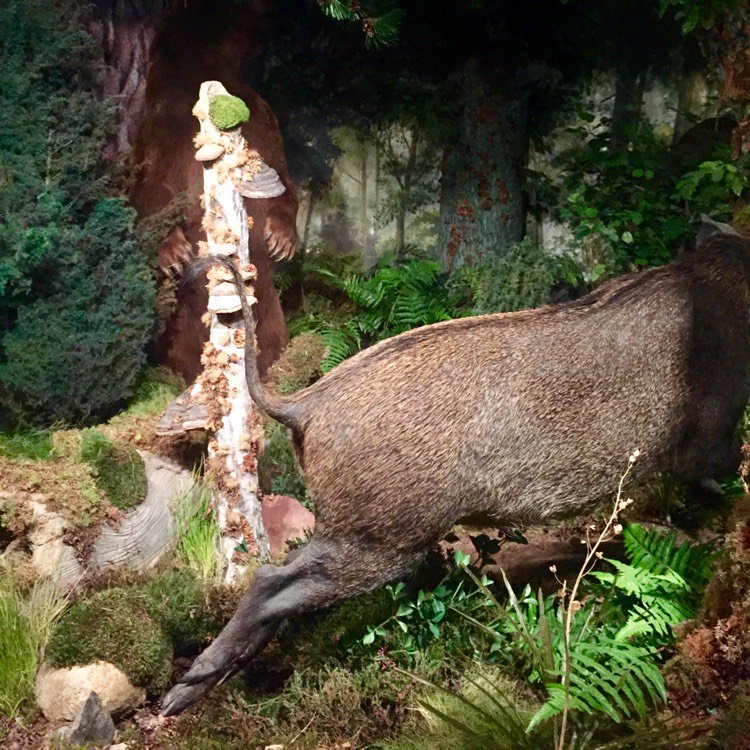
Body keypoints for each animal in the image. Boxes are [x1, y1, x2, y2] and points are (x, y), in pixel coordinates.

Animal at [162, 217, 749, 715]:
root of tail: (302, 405)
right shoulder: (712, 431)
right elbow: (715, 474)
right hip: (382, 539)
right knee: (269, 581)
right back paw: (177, 700)